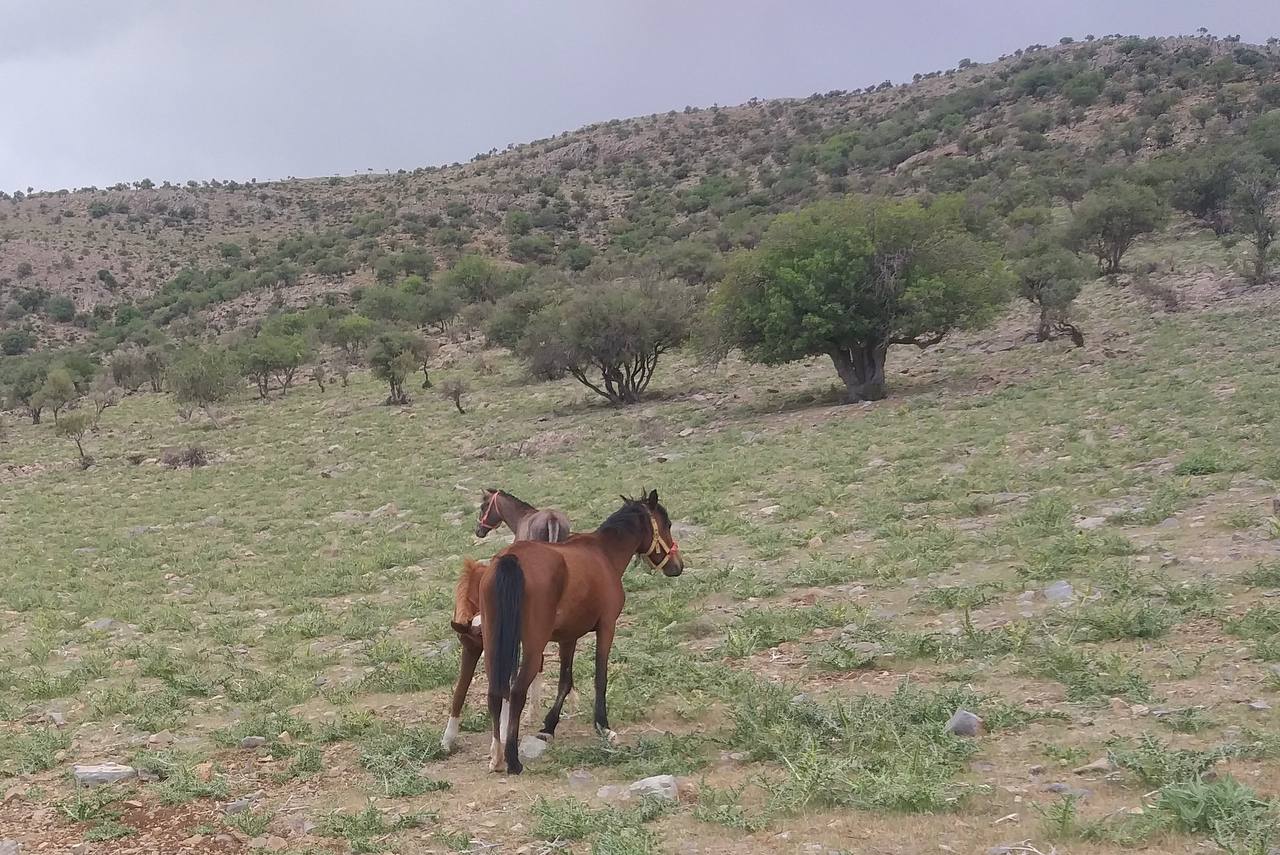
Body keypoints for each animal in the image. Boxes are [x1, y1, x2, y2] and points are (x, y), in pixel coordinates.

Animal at [440, 491, 572, 753]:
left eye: (483, 506)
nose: (479, 530)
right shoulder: (471, 647)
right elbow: (460, 690)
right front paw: (447, 739)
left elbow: (506, 687)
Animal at [480, 489, 682, 774]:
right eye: (668, 524)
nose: (677, 565)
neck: (604, 552)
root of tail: (512, 558)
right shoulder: (607, 627)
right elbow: (600, 677)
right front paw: (603, 726)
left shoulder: (568, 637)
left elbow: (565, 681)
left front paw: (549, 726)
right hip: (532, 647)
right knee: (517, 692)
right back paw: (512, 758)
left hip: (493, 644)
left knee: (495, 692)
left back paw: (496, 755)